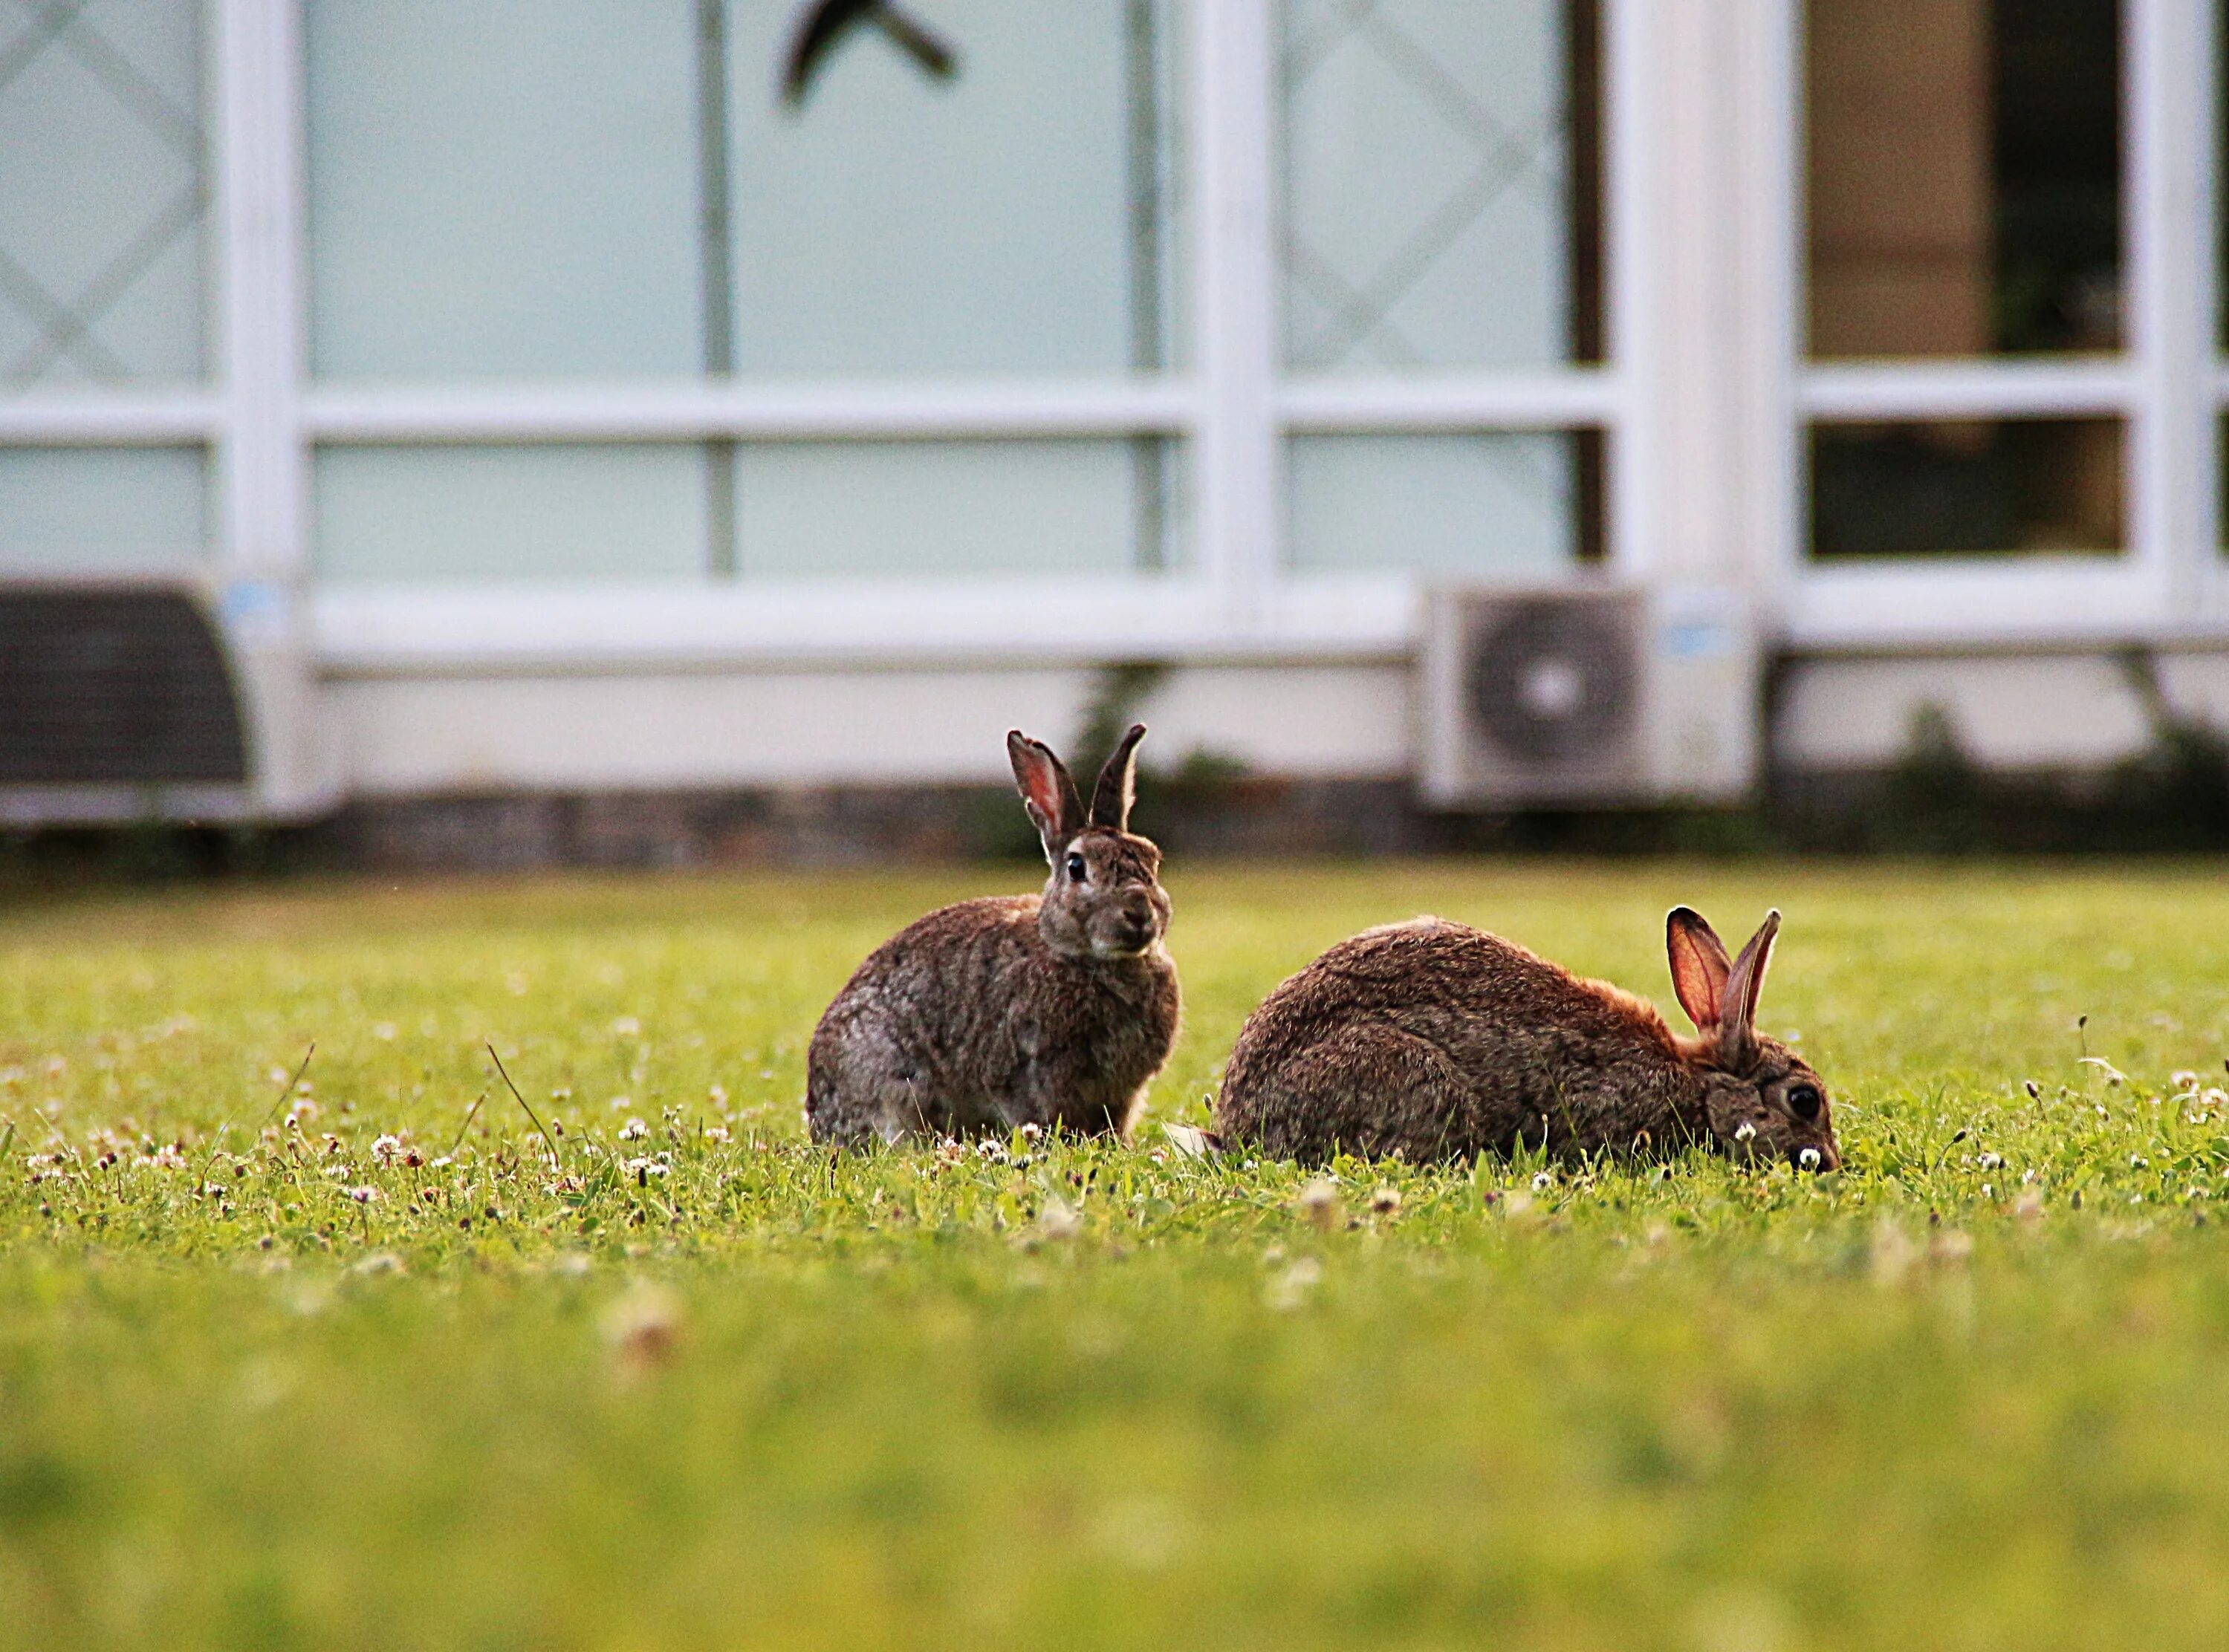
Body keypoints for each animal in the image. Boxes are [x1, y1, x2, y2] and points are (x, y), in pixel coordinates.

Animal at [807, 722, 1186, 1150]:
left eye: (1153, 859)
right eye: (1076, 867)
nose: (1139, 913)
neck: (1083, 957)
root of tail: (818, 1115)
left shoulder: (1121, 1094)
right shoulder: (1025, 1075)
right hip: (891, 1083)